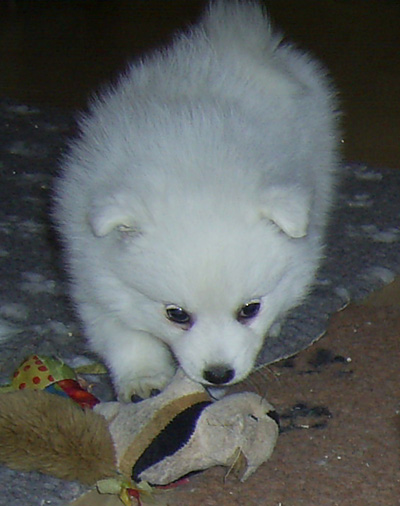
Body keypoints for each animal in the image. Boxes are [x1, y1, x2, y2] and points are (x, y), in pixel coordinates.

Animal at [54, 0, 340, 401]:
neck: (195, 167)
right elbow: (122, 332)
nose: (218, 374)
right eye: (176, 315)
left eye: (250, 309)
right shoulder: (93, 270)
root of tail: (237, 43)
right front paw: (142, 379)